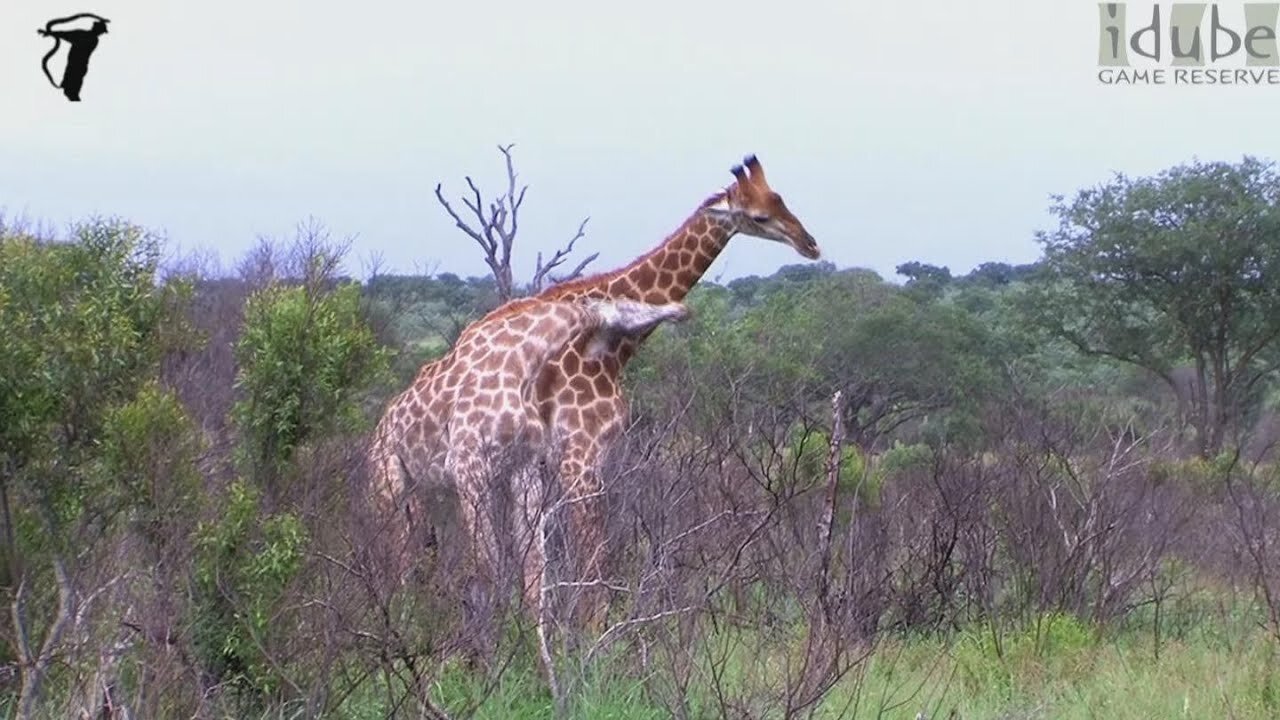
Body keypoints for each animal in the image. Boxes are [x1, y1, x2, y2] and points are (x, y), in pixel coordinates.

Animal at [371, 294, 691, 620]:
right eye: (629, 305)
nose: (680, 310)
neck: (521, 361)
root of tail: (379, 427)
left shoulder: (524, 466)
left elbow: (535, 566)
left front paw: (529, 630)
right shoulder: (467, 464)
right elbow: (489, 563)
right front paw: (493, 628)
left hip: (436, 494)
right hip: (389, 485)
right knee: (397, 557)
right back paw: (401, 616)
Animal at [527, 152, 819, 627]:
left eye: (780, 198)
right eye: (759, 215)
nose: (810, 244)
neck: (617, 343)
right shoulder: (580, 453)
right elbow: (592, 549)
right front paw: (595, 630)